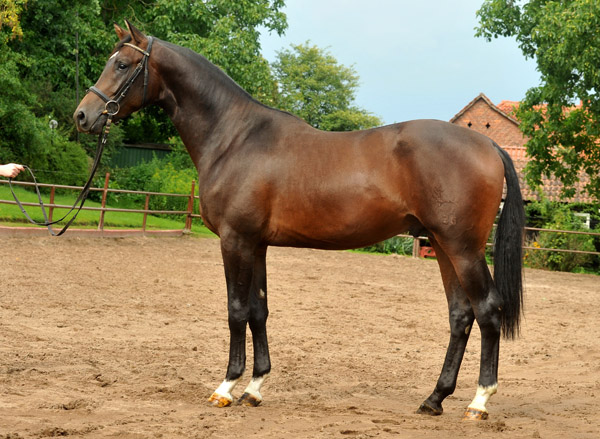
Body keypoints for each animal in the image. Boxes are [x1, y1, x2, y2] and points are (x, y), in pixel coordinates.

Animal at [75, 22, 524, 422]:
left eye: (122, 64)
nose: (83, 115)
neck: (235, 138)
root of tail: (488, 144)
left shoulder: (235, 240)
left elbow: (236, 310)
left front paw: (226, 387)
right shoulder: (256, 243)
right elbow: (258, 310)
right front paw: (254, 388)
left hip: (463, 248)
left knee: (488, 310)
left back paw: (479, 402)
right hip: (442, 246)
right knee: (460, 315)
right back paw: (434, 399)